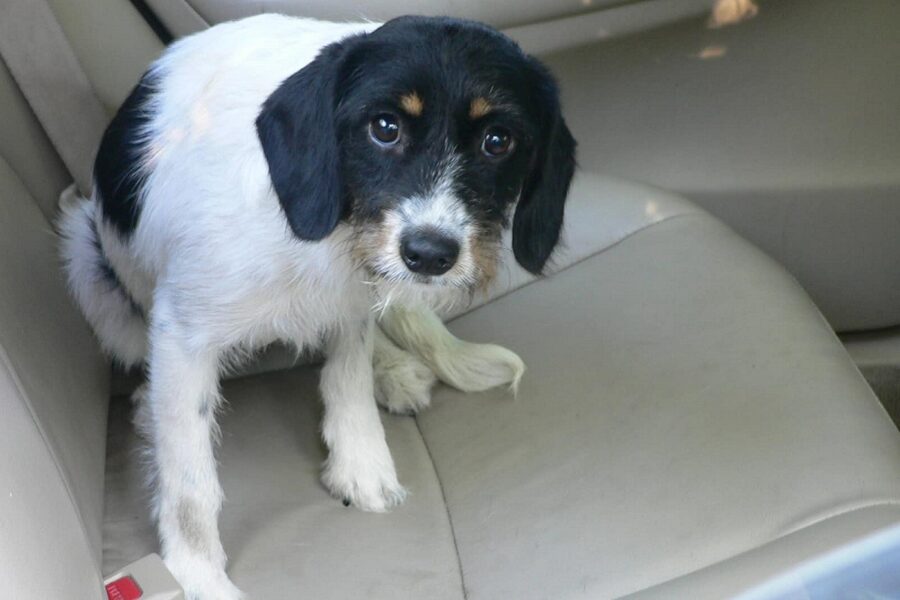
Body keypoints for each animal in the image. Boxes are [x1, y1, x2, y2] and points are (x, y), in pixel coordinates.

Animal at [59, 14, 576, 600]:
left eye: (498, 140)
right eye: (384, 127)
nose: (430, 255)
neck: (332, 227)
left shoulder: (354, 299)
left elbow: (347, 376)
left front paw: (362, 462)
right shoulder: (183, 333)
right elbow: (190, 475)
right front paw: (196, 574)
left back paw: (394, 369)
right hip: (86, 260)